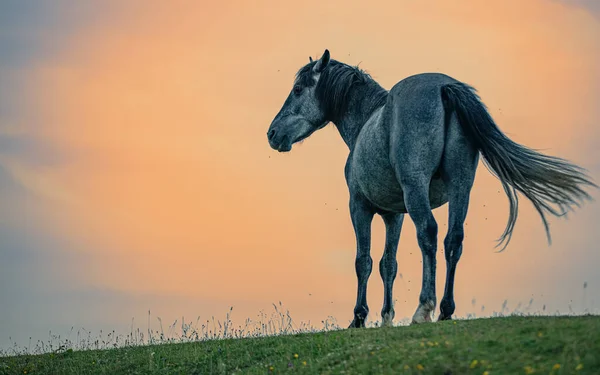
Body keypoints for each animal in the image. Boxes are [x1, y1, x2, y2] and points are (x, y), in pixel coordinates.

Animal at [266, 48, 596, 328]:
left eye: (298, 90)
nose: (272, 133)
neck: (367, 121)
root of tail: (443, 87)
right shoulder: (393, 215)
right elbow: (388, 264)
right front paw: (386, 317)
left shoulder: (360, 207)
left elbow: (364, 261)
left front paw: (359, 317)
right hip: (461, 187)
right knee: (453, 240)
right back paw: (446, 310)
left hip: (416, 191)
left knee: (429, 234)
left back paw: (424, 308)